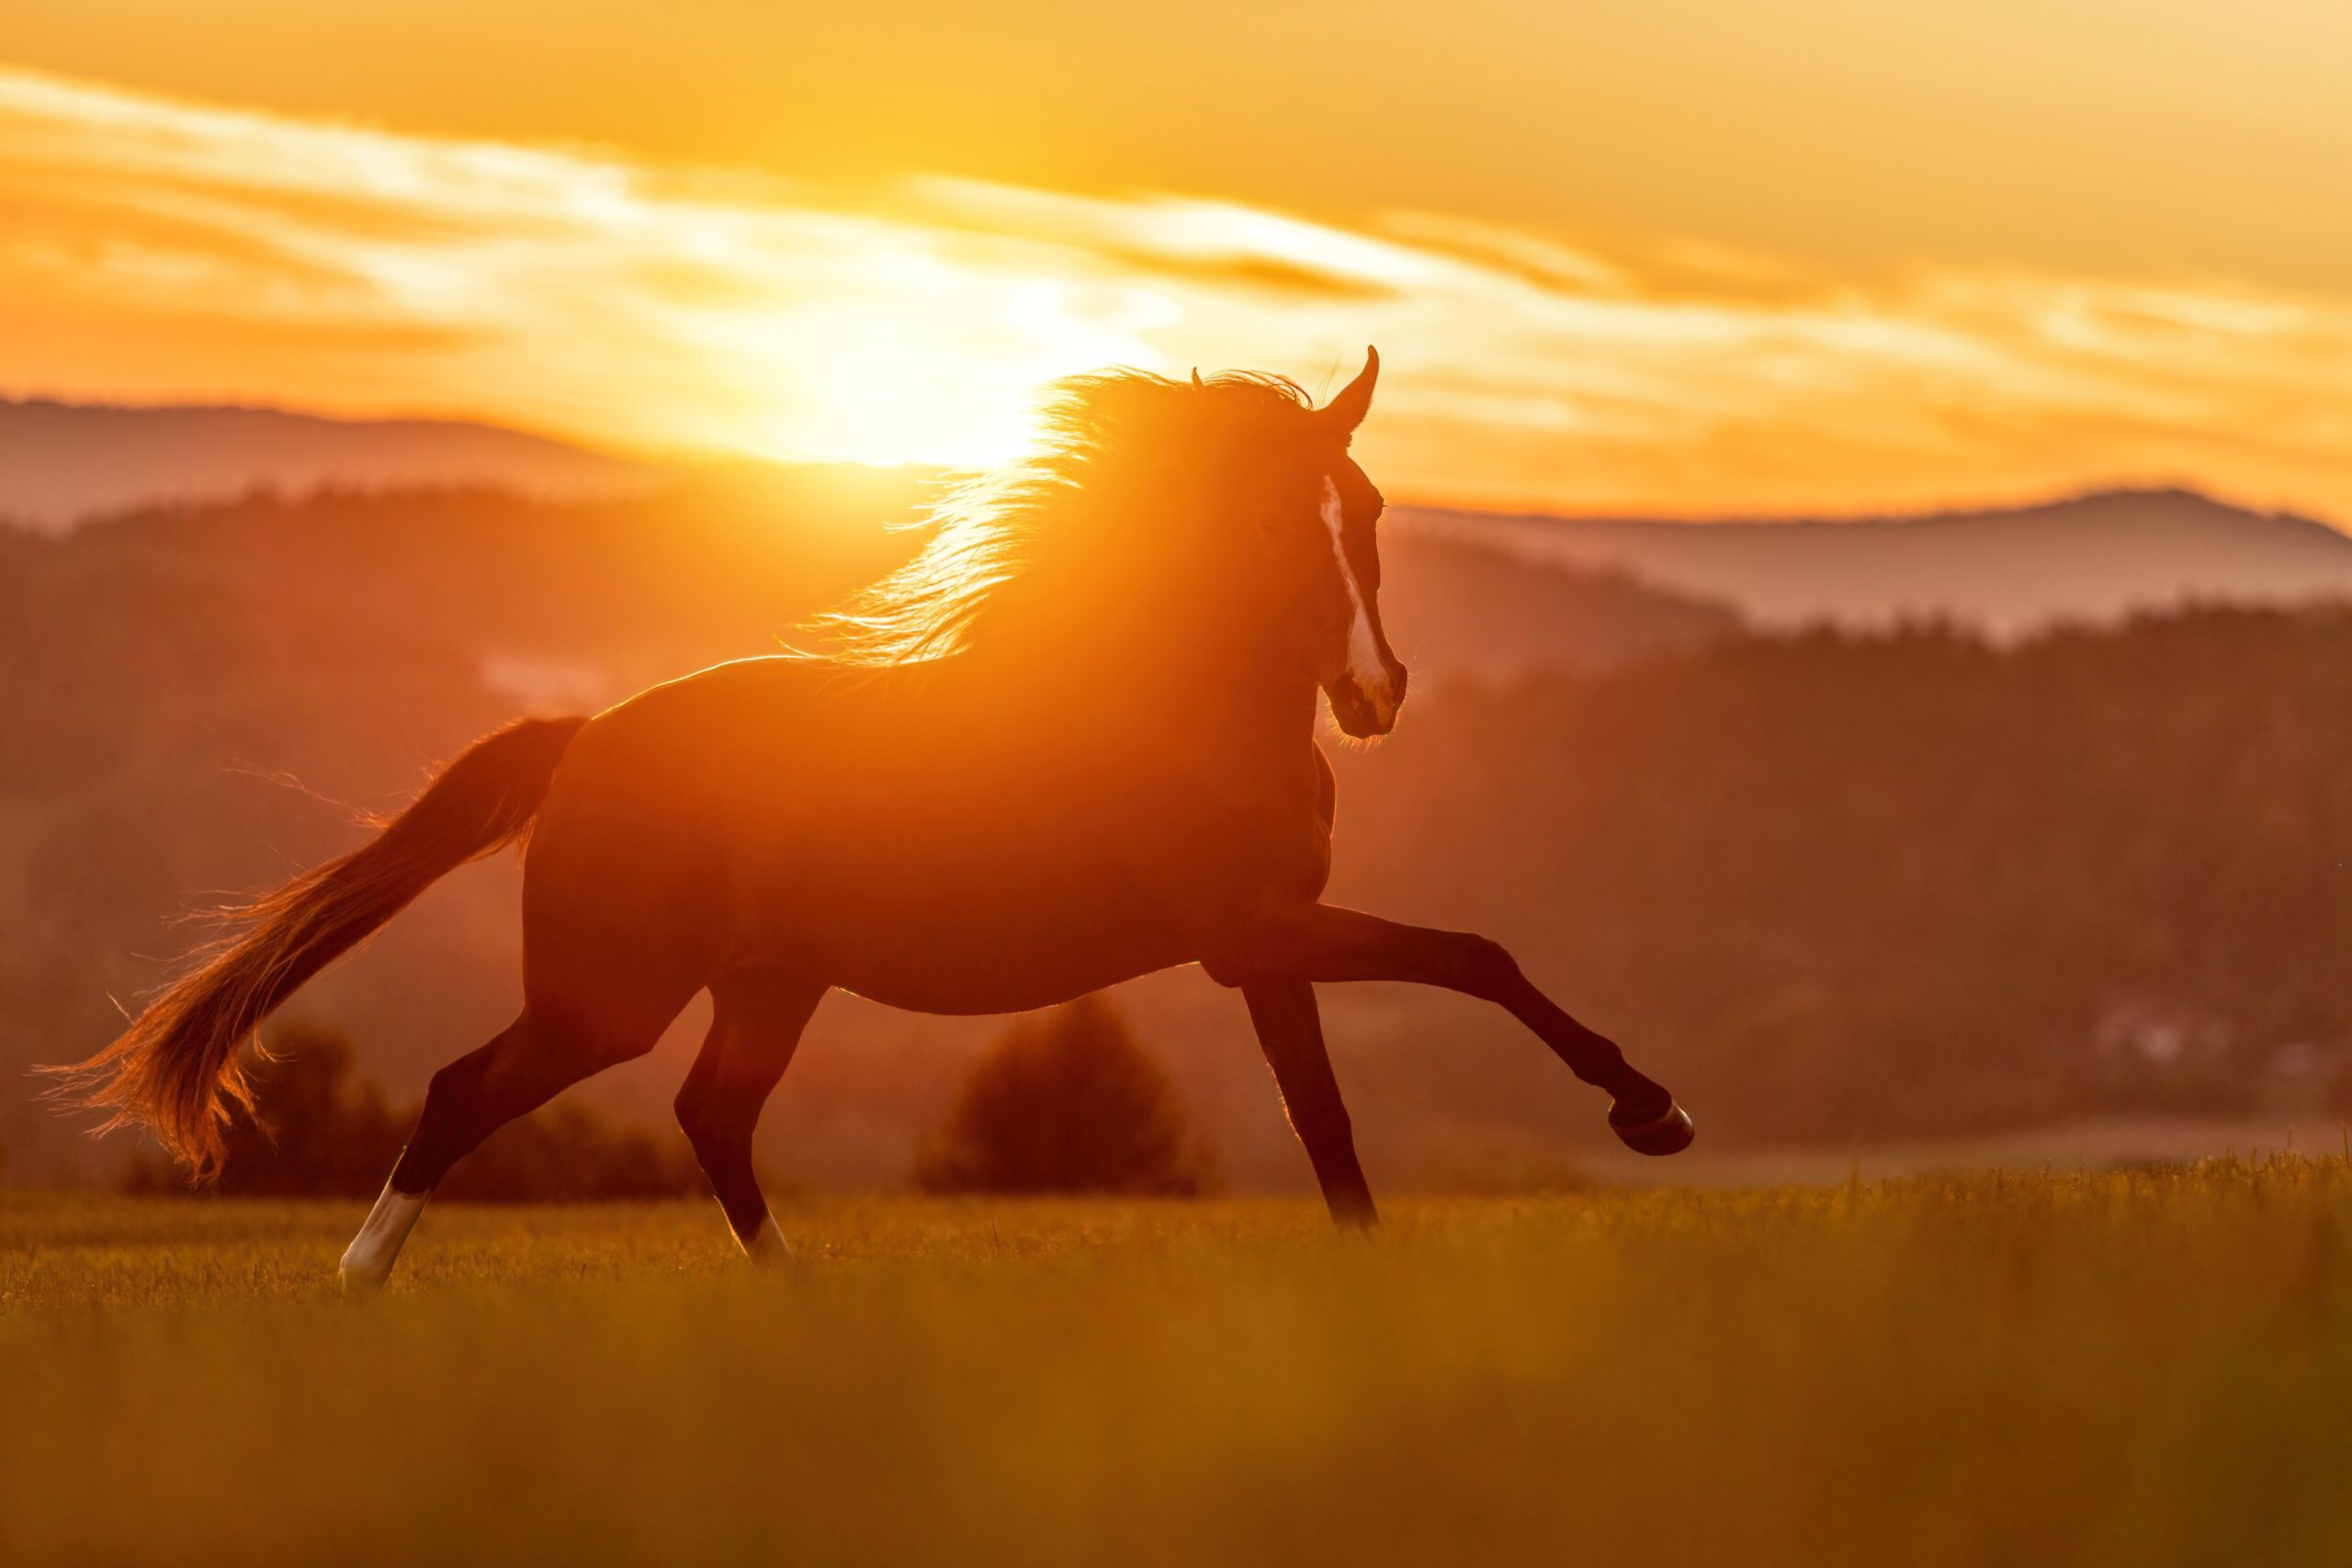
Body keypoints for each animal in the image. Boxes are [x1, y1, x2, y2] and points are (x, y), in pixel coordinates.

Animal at [50, 348, 1691, 1289]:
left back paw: (800, 1296)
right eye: (1286, 521)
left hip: (768, 983)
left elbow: (1328, 1112)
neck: (1182, 715)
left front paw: (1370, 1271)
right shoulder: (1255, 930)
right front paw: (1653, 1111)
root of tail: (584, 736)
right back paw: (354, 1281)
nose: (1376, 693)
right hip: (610, 993)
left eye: (1375, 510)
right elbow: (1476, 954)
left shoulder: (1260, 945)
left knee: (711, 1114)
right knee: (470, 1090)